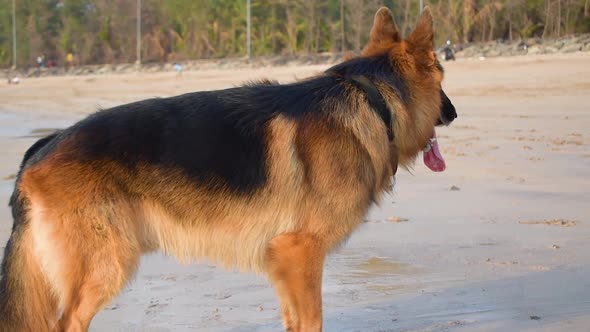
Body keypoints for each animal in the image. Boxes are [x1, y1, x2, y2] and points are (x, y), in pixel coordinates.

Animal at [0, 6, 458, 330]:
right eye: (443, 79)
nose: (454, 113)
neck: (370, 99)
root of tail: (43, 146)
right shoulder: (301, 253)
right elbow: (312, 321)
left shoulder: (287, 265)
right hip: (105, 266)